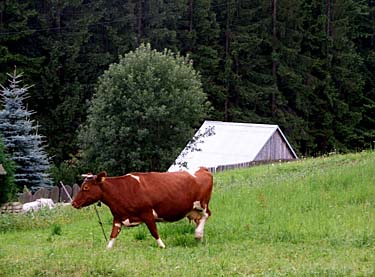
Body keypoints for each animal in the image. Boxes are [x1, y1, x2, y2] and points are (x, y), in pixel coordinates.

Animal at [72, 166, 213, 248]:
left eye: (86, 187)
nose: (74, 203)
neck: (121, 190)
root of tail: (203, 169)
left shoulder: (147, 213)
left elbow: (154, 231)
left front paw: (162, 246)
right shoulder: (118, 217)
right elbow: (112, 235)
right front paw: (107, 249)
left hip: (202, 204)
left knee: (207, 215)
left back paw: (198, 234)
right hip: (193, 210)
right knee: (199, 220)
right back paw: (199, 237)